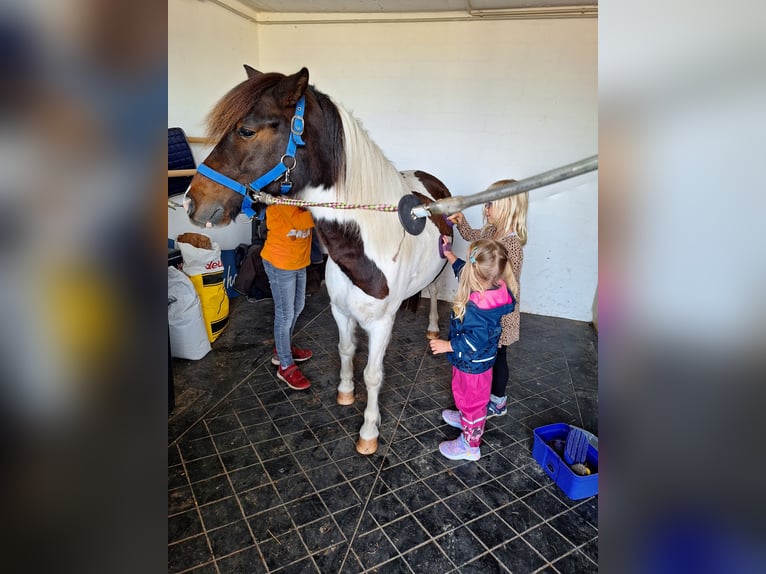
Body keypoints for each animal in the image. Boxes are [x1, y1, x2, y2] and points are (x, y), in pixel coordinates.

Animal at [184, 66, 453, 454]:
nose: (191, 202)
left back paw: (432, 327)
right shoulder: (340, 312)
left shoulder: (380, 325)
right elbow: (345, 349)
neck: (366, 246)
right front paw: (345, 393)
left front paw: (368, 433)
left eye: (246, 130)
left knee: (433, 292)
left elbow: (373, 375)